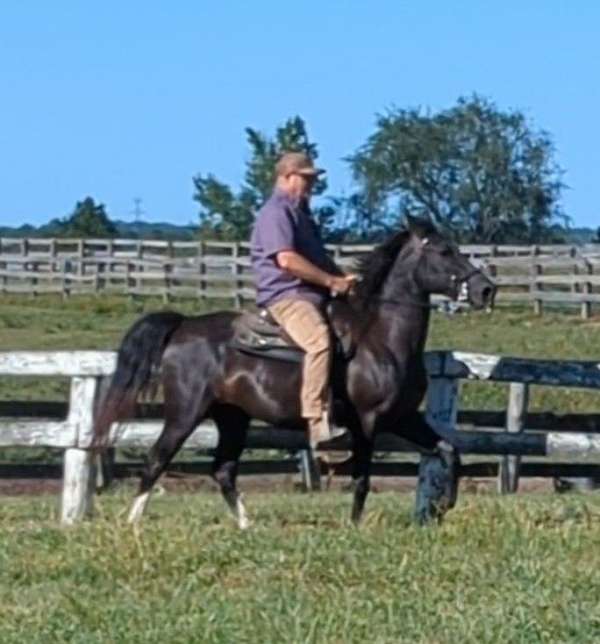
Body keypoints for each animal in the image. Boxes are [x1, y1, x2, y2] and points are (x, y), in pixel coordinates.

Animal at [94, 219, 494, 524]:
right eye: (444, 251)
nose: (486, 289)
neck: (380, 337)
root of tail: (183, 325)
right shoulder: (368, 422)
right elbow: (362, 479)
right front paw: (354, 525)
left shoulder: (403, 417)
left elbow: (449, 451)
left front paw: (442, 506)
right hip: (185, 413)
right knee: (156, 459)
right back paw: (133, 524)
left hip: (233, 417)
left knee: (223, 470)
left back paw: (247, 525)